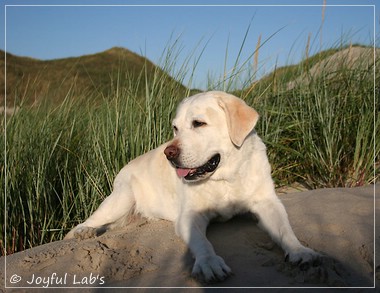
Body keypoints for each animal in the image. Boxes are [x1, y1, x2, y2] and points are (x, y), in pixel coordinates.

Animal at [65, 90, 318, 280]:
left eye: (198, 123)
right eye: (175, 128)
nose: (168, 153)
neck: (225, 178)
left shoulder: (267, 203)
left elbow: (284, 229)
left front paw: (300, 251)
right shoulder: (190, 216)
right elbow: (202, 243)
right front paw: (209, 263)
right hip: (122, 198)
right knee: (91, 219)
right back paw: (83, 231)